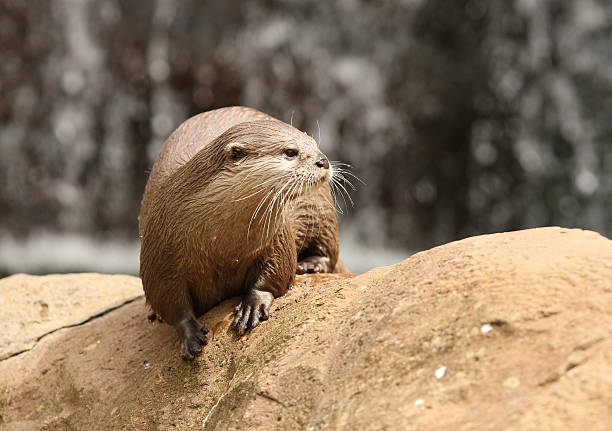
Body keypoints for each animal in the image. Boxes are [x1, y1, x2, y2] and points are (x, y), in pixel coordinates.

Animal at [140, 106, 346, 360]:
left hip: (321, 209)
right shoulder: (159, 249)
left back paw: (310, 264)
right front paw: (190, 334)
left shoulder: (277, 236)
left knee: (328, 247)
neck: (220, 243)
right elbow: (167, 299)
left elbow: (278, 270)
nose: (323, 160)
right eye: (290, 151)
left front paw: (252, 305)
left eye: (315, 144)